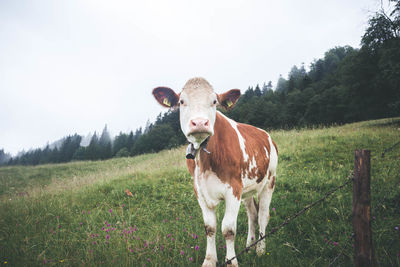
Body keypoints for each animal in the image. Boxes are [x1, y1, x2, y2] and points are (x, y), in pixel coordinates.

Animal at [153, 77, 278, 267]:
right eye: (182, 101)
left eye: (214, 102)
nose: (199, 123)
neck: (205, 159)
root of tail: (266, 134)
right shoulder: (200, 190)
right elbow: (210, 227)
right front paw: (209, 260)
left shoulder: (233, 189)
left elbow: (228, 229)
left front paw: (231, 262)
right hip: (247, 189)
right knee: (253, 214)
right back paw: (250, 246)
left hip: (269, 181)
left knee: (263, 215)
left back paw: (260, 250)